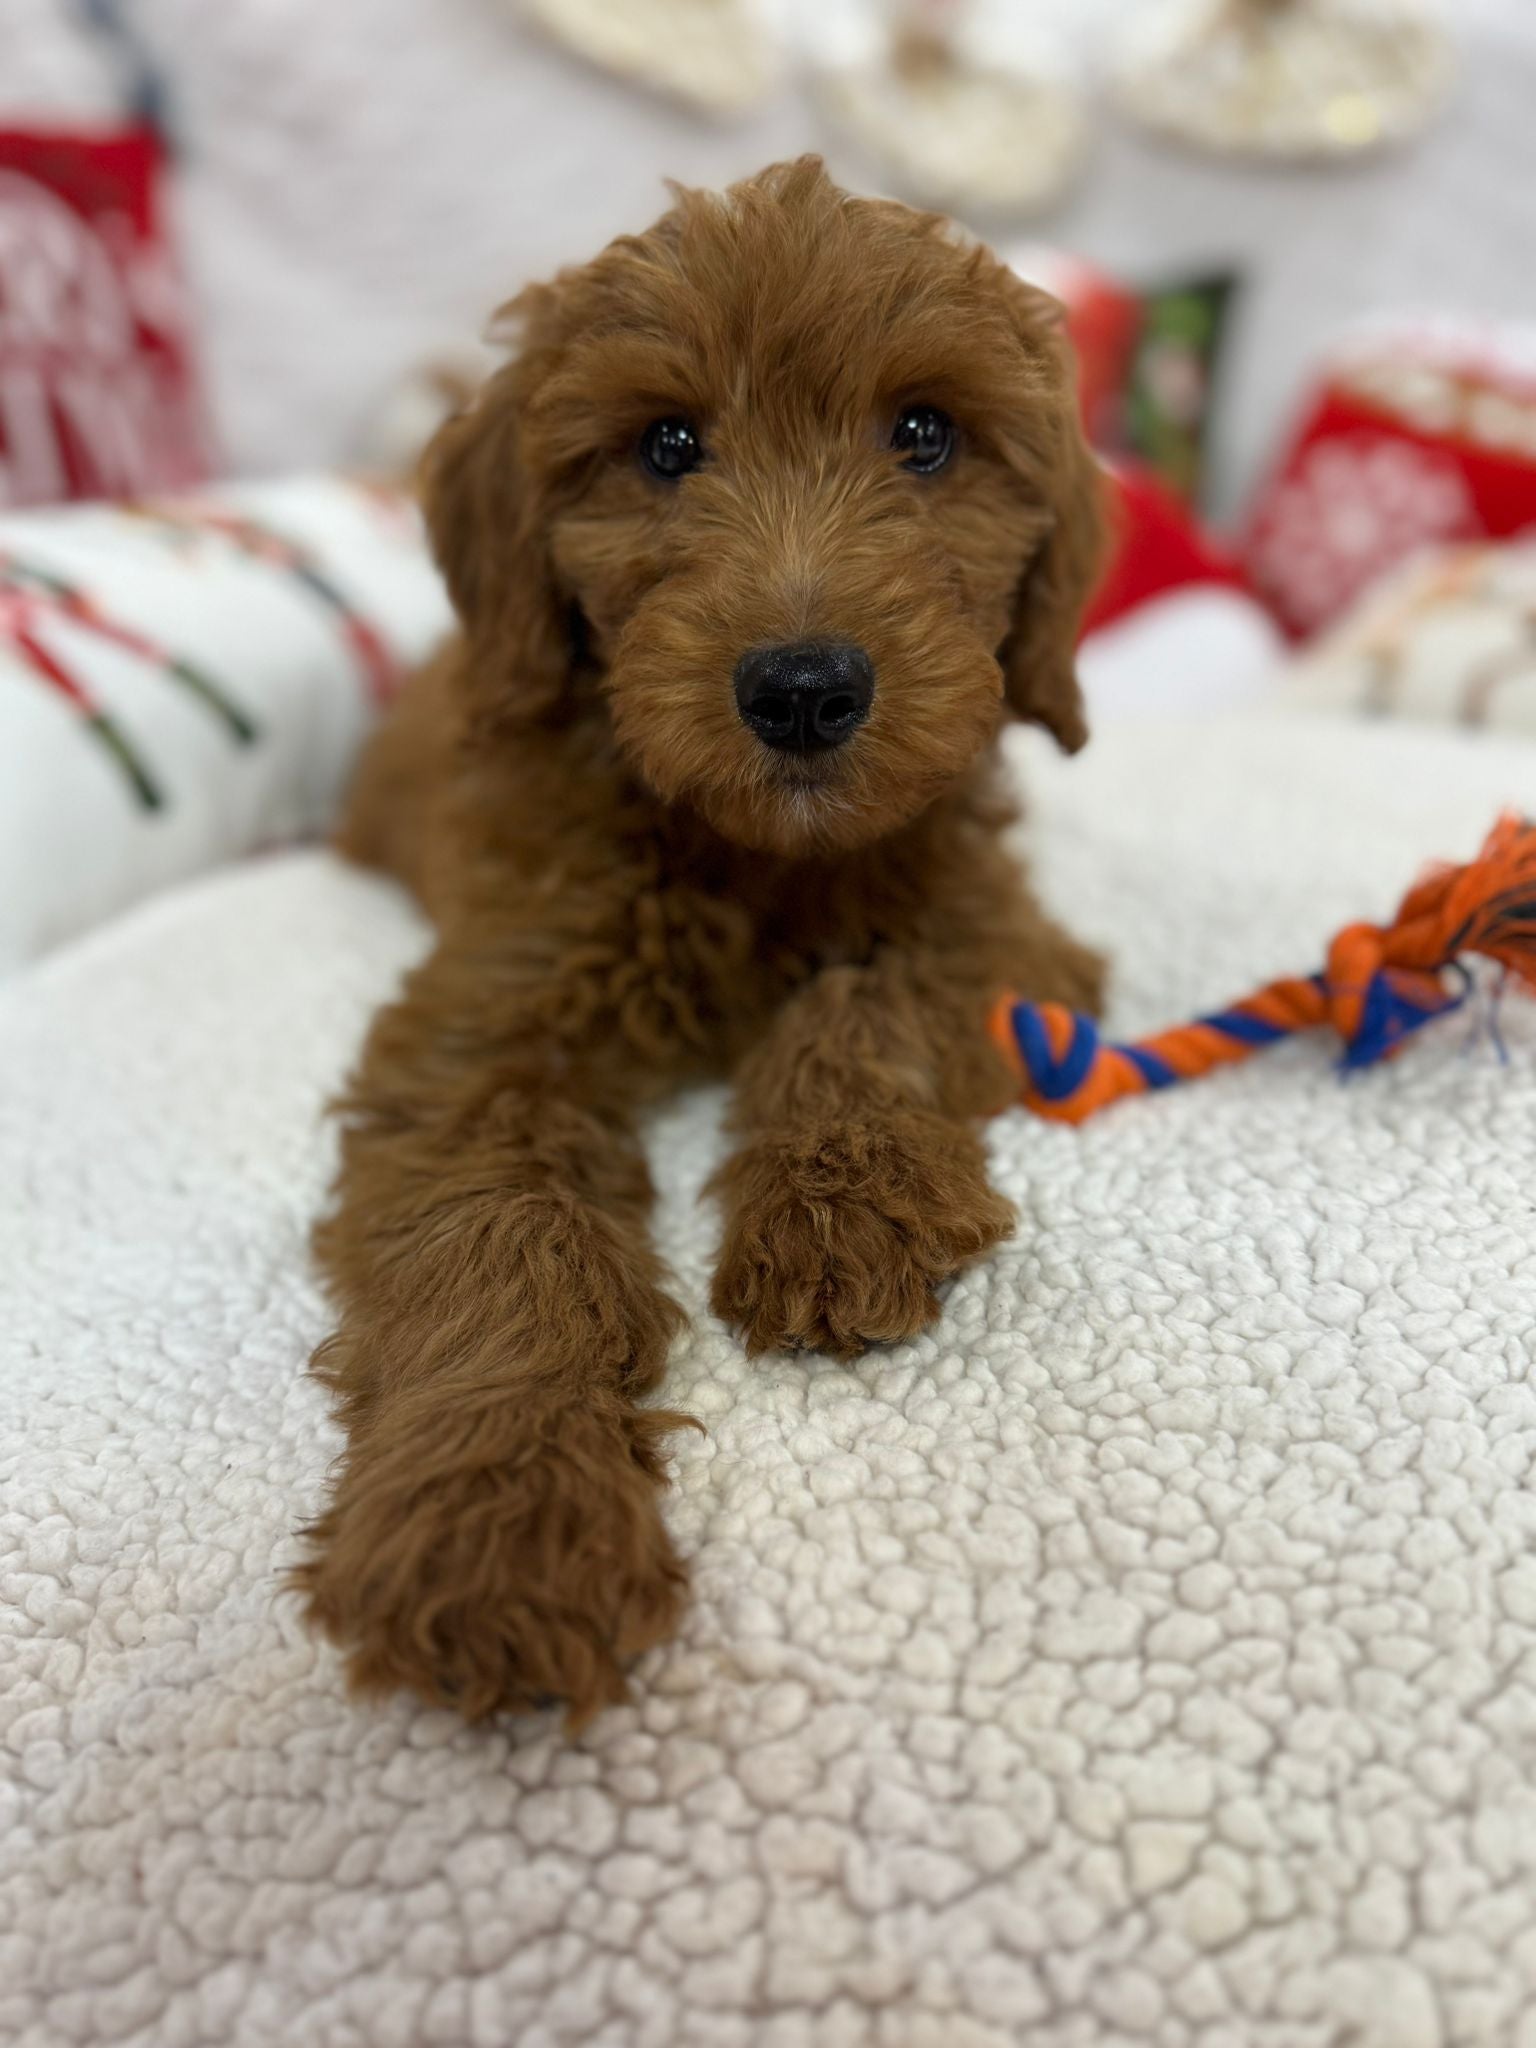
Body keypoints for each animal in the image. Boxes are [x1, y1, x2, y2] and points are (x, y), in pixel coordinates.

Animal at [290, 163, 1105, 1728]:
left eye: (925, 433)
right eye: (668, 444)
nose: (803, 690)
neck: (746, 850)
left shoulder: (1000, 935)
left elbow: (863, 998)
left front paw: (840, 1202)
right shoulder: (487, 1020)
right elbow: (498, 1234)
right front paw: (501, 1525)